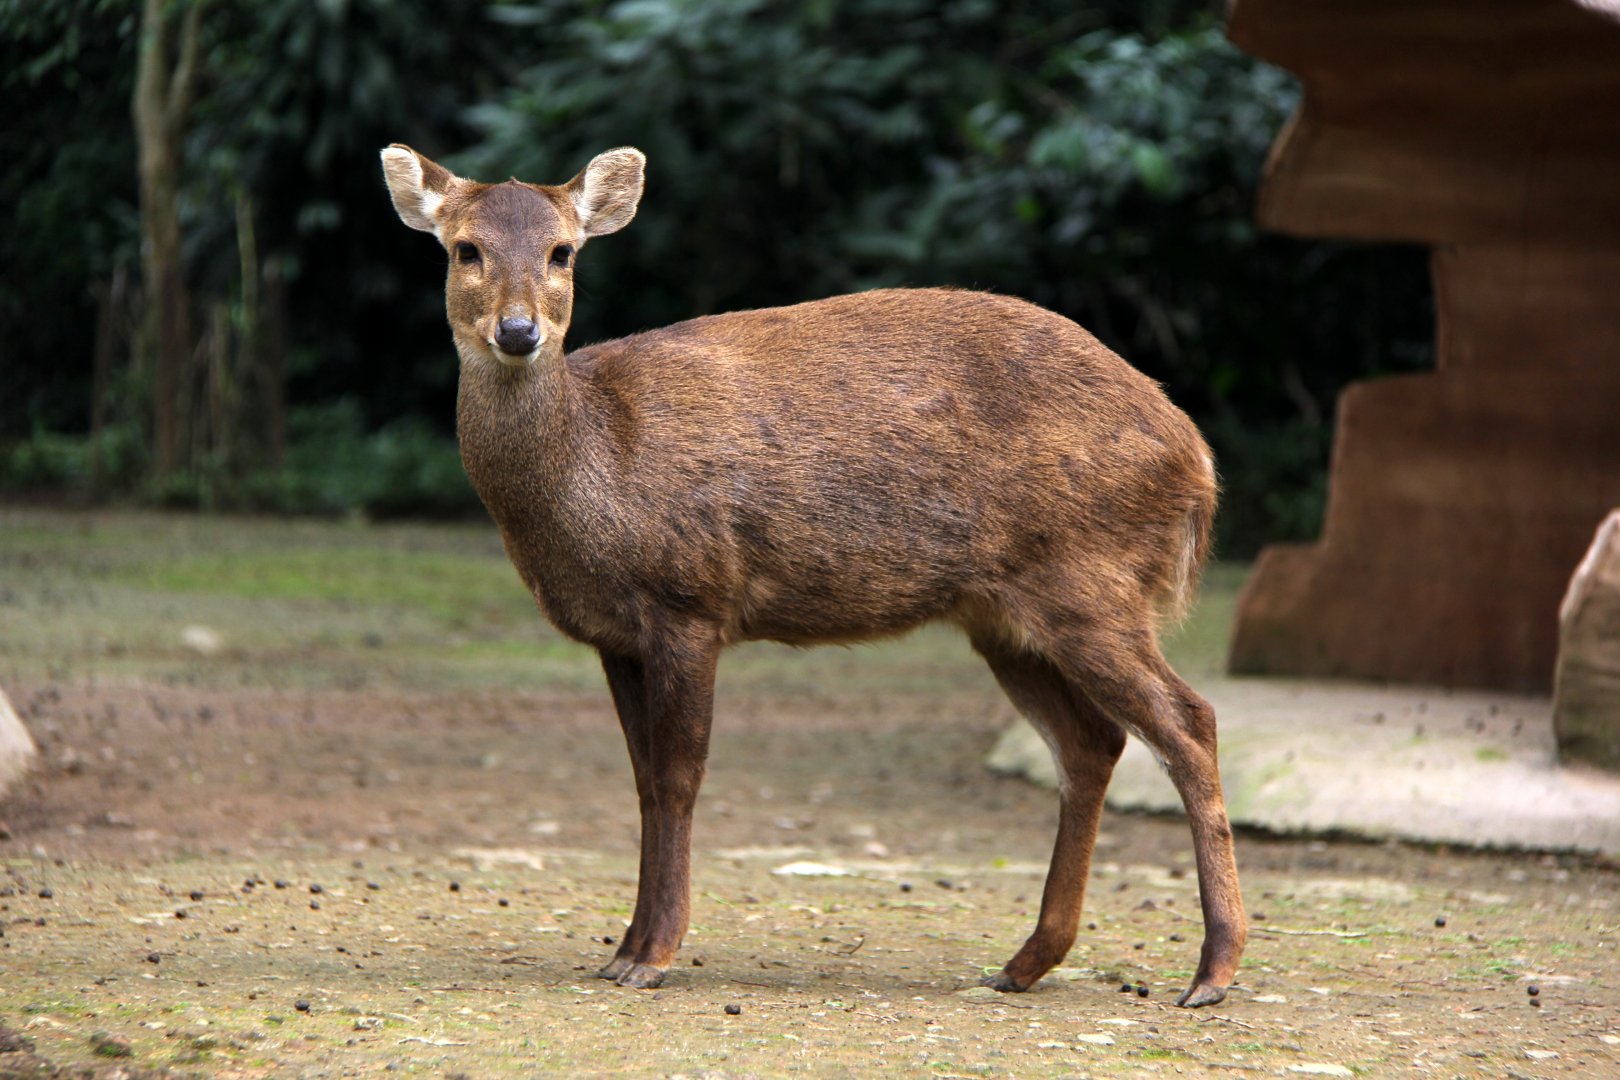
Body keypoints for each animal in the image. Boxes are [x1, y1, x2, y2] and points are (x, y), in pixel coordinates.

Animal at [380, 143, 1247, 1007]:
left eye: (563, 252)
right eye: (466, 250)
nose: (519, 331)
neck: (593, 470)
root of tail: (1198, 459)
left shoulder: (691, 599)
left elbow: (680, 777)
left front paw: (653, 953)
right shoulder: (614, 636)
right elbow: (644, 783)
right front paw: (622, 948)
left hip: (1093, 581)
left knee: (1189, 722)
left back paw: (1212, 970)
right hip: (1006, 616)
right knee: (1091, 742)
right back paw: (1025, 961)